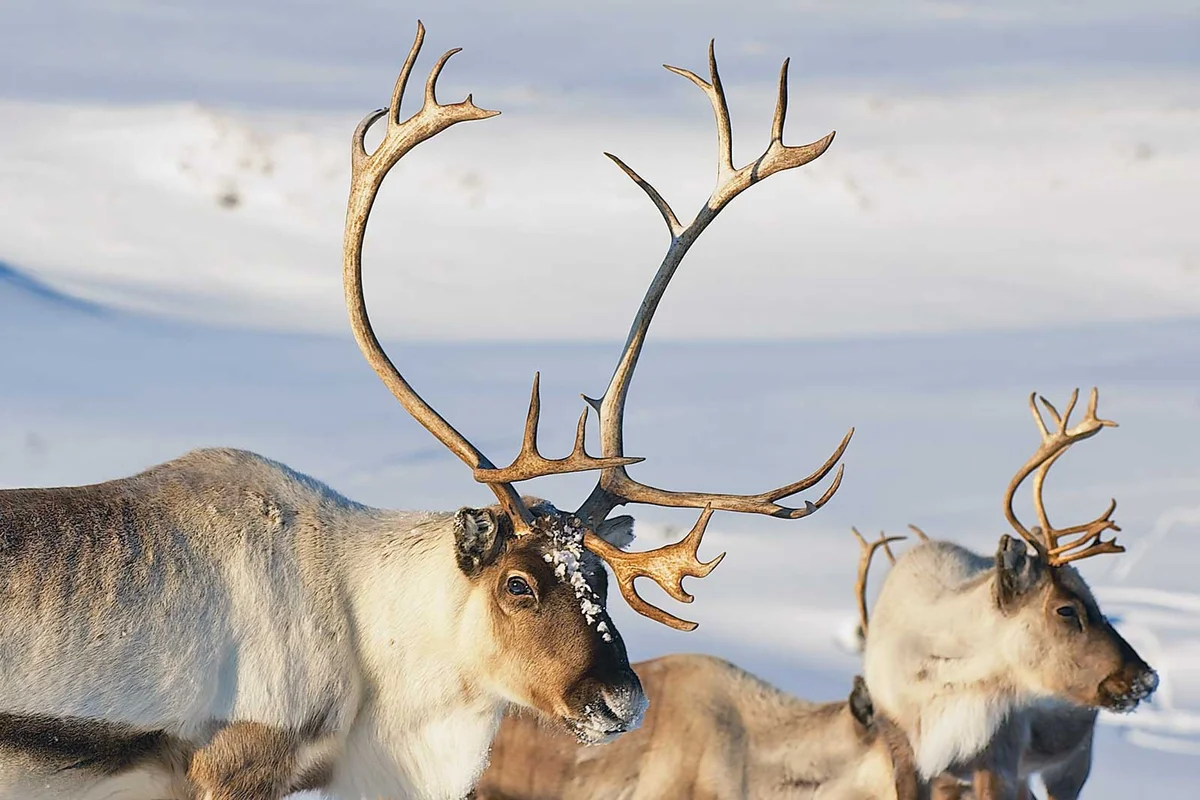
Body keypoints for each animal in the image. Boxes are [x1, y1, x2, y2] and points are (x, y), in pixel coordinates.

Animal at [858, 388, 1158, 800]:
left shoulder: (1000, 756)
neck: (942, 675)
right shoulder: (905, 750)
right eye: (1066, 610)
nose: (1145, 679)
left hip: (1072, 764)